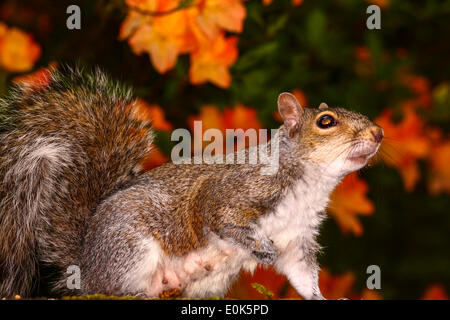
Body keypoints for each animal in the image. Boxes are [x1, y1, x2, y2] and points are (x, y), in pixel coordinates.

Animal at [0, 68, 384, 300]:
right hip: (128, 245)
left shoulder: (298, 238)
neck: (309, 186)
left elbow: (301, 273)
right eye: (326, 121)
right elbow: (220, 218)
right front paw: (260, 247)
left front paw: (321, 296)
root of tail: (86, 266)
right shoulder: (233, 192)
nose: (378, 133)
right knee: (114, 286)